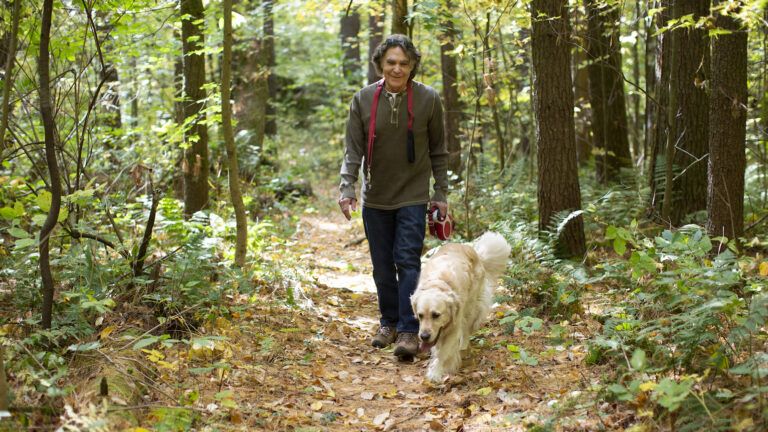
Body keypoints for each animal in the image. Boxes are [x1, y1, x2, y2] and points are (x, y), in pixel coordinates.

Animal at [412, 233, 512, 382]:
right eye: (420, 315)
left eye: (436, 315)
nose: (424, 336)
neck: (438, 283)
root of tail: (474, 251)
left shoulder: (454, 326)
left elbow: (443, 353)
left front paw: (436, 372)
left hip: (470, 308)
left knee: (466, 330)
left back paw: (463, 347)